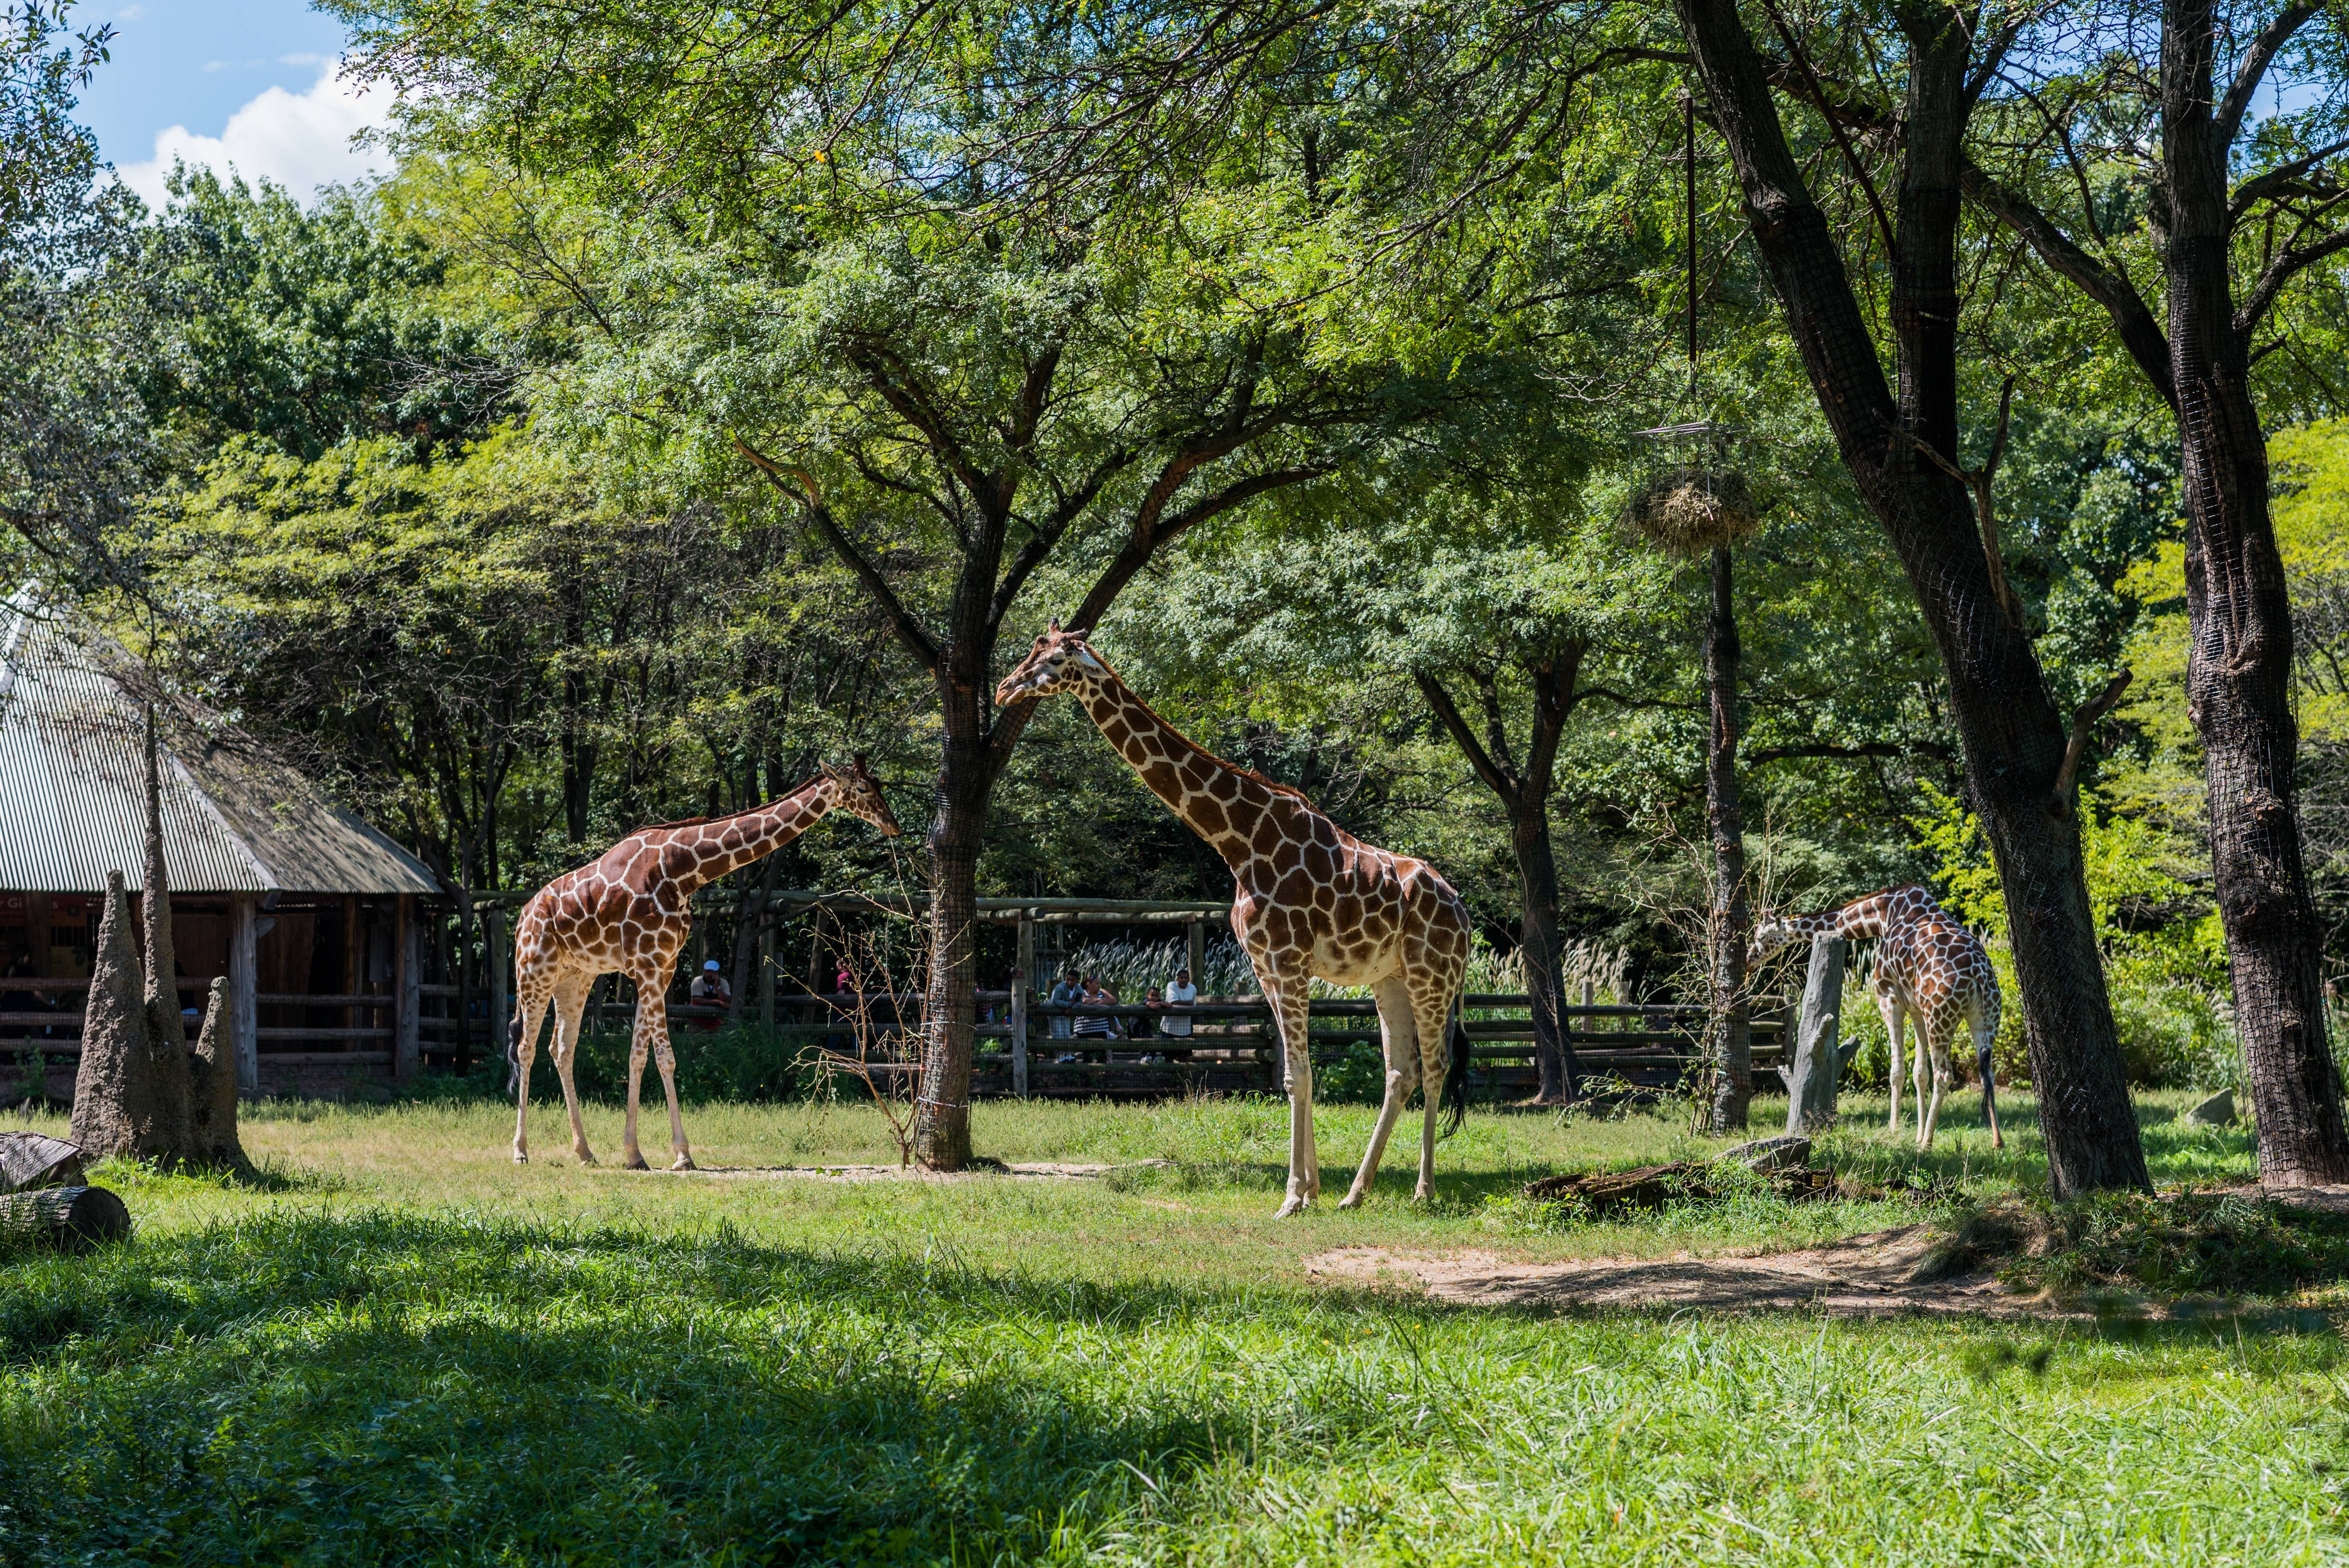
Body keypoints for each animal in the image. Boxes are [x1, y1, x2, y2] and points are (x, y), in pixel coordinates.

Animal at [509, 761, 902, 1164]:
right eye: (862, 789)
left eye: (878, 785)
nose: (893, 825)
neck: (682, 871)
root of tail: (523, 917)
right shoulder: (648, 964)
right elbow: (665, 1056)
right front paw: (683, 1155)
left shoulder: (661, 966)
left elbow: (638, 1056)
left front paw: (635, 1154)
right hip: (534, 971)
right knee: (526, 1047)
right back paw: (521, 1151)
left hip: (575, 978)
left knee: (562, 1050)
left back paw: (585, 1152)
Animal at [1000, 624, 1475, 1211]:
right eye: (1031, 651)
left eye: (1050, 659)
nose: (1003, 689)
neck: (1240, 841)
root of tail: (1464, 915)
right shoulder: (1266, 967)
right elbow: (1294, 1074)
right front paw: (1312, 1189)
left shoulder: (1288, 961)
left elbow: (1298, 1074)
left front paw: (1292, 1197)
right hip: (1389, 978)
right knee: (1400, 1072)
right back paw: (1355, 1193)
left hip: (1431, 976)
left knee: (1434, 1069)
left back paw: (1422, 1191)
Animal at [1757, 882, 2010, 1150]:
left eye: (1761, 937)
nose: (1751, 958)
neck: (1882, 915)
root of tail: (1980, 974)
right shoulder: (1916, 1008)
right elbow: (1919, 1073)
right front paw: (1916, 1133)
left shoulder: (1889, 998)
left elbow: (1897, 1072)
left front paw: (1895, 1129)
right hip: (1985, 1018)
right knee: (1987, 1073)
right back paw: (1997, 1141)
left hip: (1940, 1018)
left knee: (1944, 1075)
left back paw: (1927, 1144)